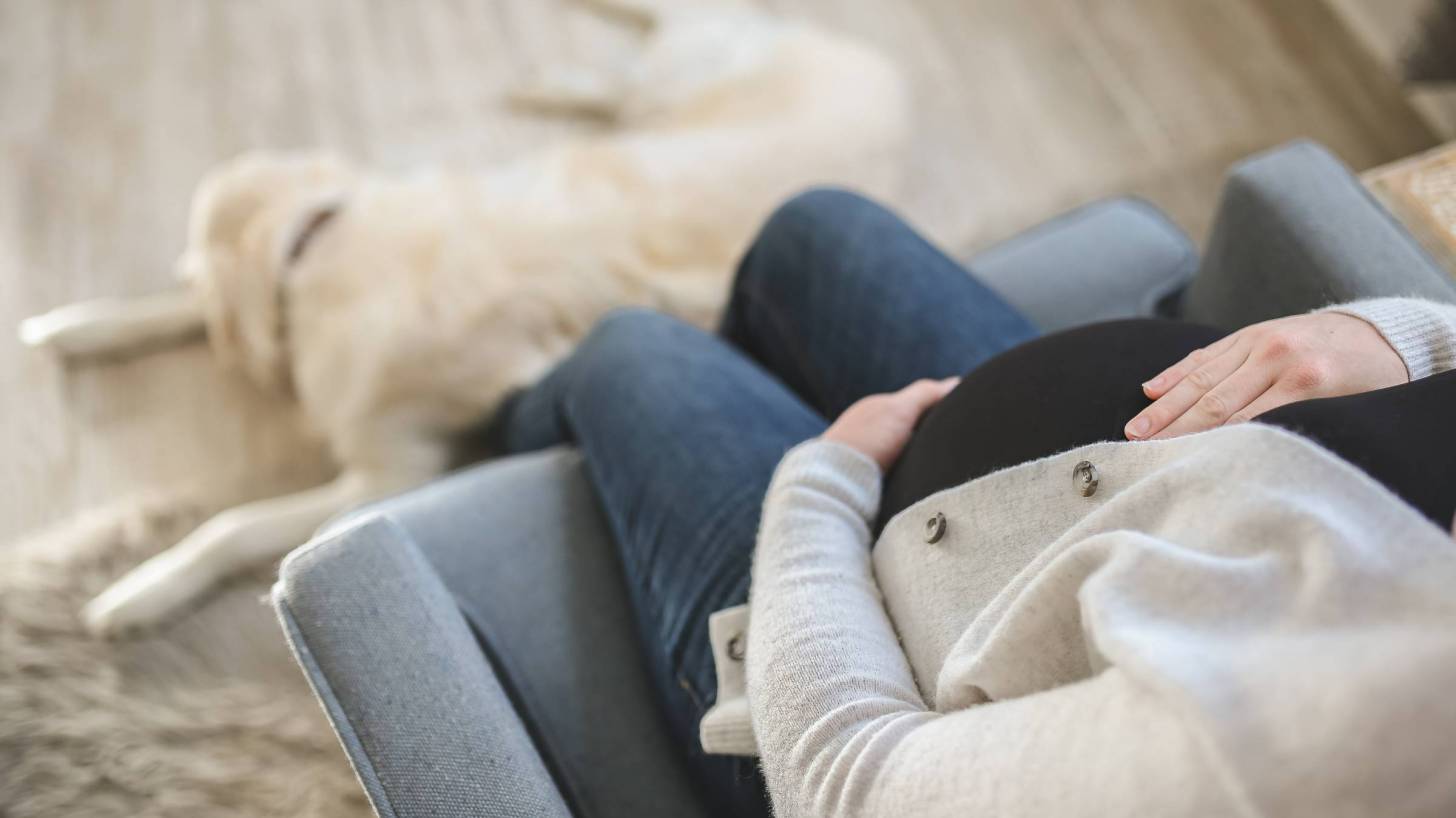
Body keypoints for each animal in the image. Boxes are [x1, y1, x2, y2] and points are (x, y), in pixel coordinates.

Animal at [19, 0, 908, 637]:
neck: (320, 248)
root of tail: (881, 75)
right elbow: (170, 313)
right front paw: (75, 325)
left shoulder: (389, 474)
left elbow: (231, 524)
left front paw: (136, 592)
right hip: (669, 87)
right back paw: (555, 74)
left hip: (684, 76)